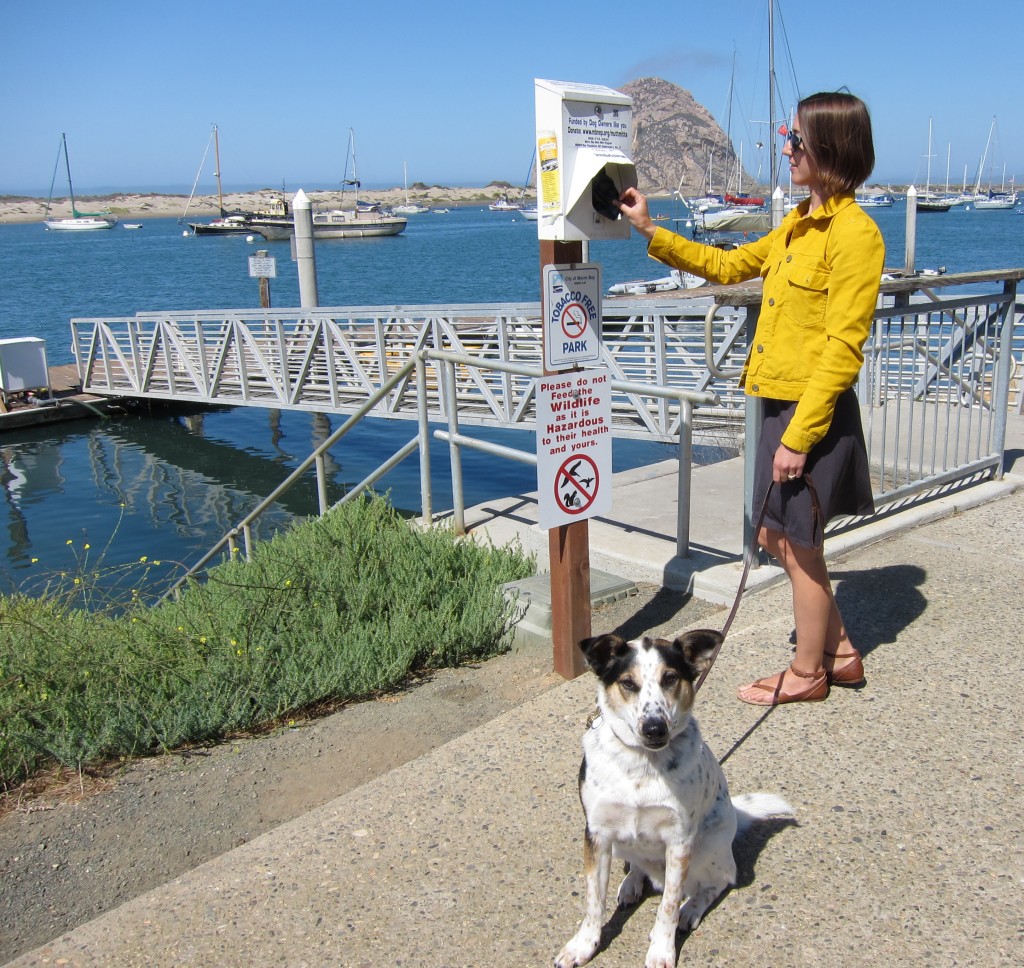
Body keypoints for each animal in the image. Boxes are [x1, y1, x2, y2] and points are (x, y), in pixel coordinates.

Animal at [561, 630, 790, 962]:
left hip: (708, 847)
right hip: (619, 843)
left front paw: (661, 950)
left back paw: (690, 909)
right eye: (628, 683)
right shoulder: (597, 834)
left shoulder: (679, 842)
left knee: (717, 882)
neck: (642, 763)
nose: (654, 728)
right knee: (638, 864)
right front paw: (583, 945)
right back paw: (632, 883)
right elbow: (593, 901)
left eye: (670, 678)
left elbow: (668, 906)